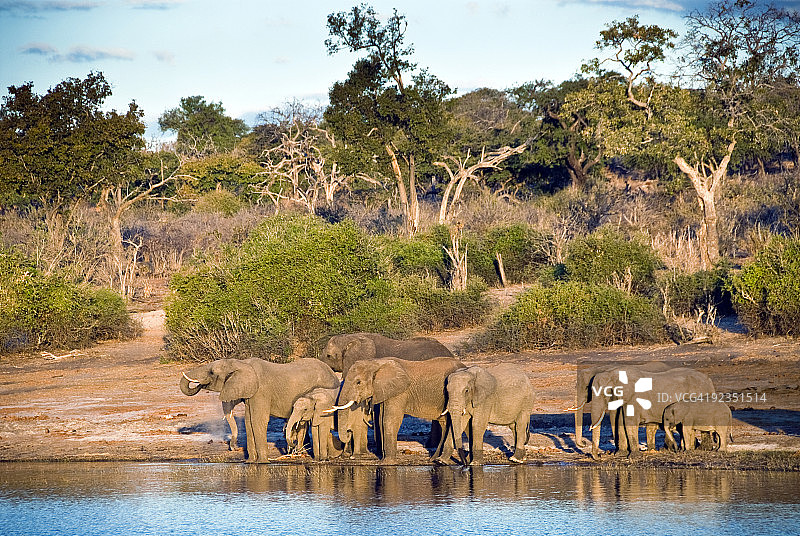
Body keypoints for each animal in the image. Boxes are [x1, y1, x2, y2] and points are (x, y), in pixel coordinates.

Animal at [180, 358, 339, 463]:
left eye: (212, 372)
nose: (233, 446)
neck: (242, 363)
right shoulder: (252, 396)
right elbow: (248, 421)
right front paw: (250, 462)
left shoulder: (261, 392)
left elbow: (257, 420)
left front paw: (262, 463)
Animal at [331, 356, 465, 462]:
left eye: (358, 382)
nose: (348, 432)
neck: (376, 362)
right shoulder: (385, 390)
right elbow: (381, 420)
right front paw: (384, 460)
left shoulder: (400, 392)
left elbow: (390, 419)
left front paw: (387, 463)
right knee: (445, 423)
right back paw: (434, 459)